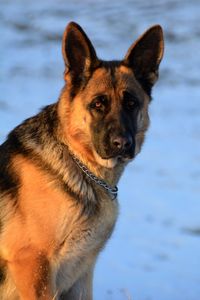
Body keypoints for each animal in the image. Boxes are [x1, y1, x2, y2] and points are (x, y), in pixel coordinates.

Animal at [0, 21, 163, 300]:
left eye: (131, 103)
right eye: (98, 104)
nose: (122, 144)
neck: (80, 165)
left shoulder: (81, 276)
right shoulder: (33, 267)